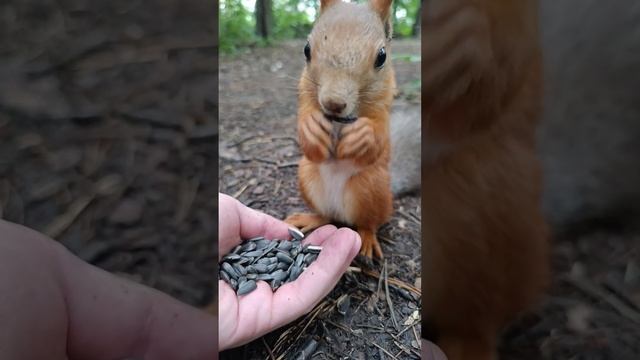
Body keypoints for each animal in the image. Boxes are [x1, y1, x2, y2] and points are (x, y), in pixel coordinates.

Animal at [284, 0, 396, 258]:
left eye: (382, 56)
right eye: (306, 49)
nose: (333, 103)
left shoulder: (384, 108)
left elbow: (379, 139)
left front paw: (363, 135)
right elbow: (307, 135)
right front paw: (311, 127)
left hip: (371, 187)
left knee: (368, 223)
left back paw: (367, 240)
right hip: (307, 176)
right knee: (326, 216)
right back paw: (310, 219)